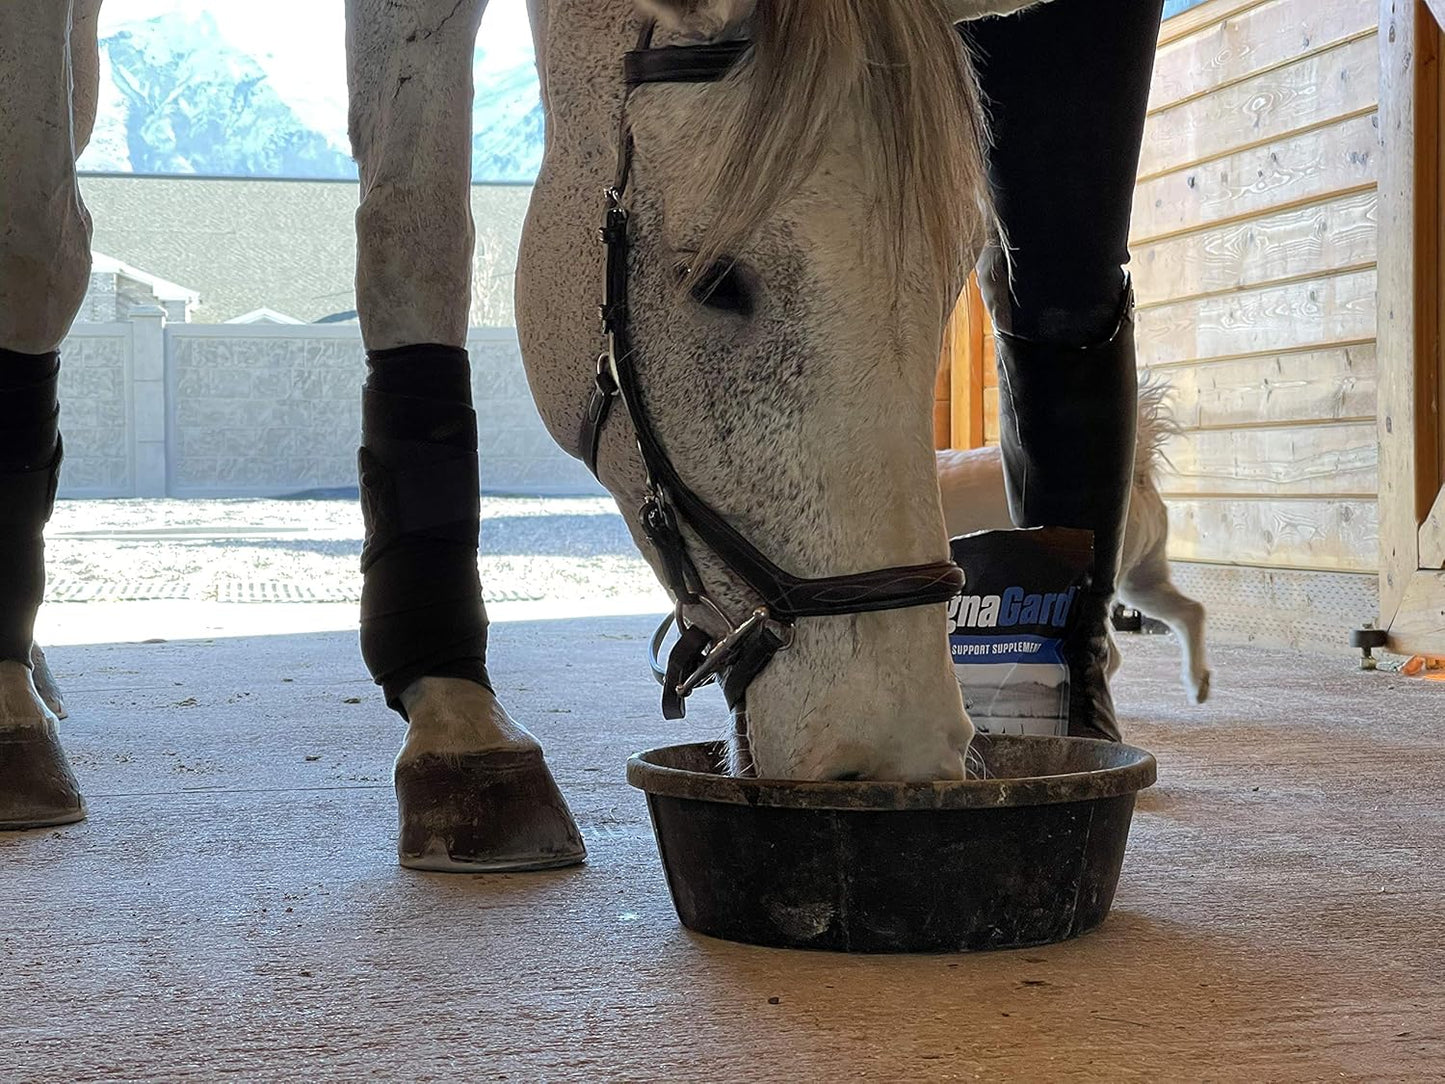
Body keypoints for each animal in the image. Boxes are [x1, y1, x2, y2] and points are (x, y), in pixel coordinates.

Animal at [0, 0, 1017, 870]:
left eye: (950, 284)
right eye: (721, 283)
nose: (894, 746)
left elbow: (416, 244)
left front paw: (455, 721)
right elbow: (36, 244)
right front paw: (9, 718)